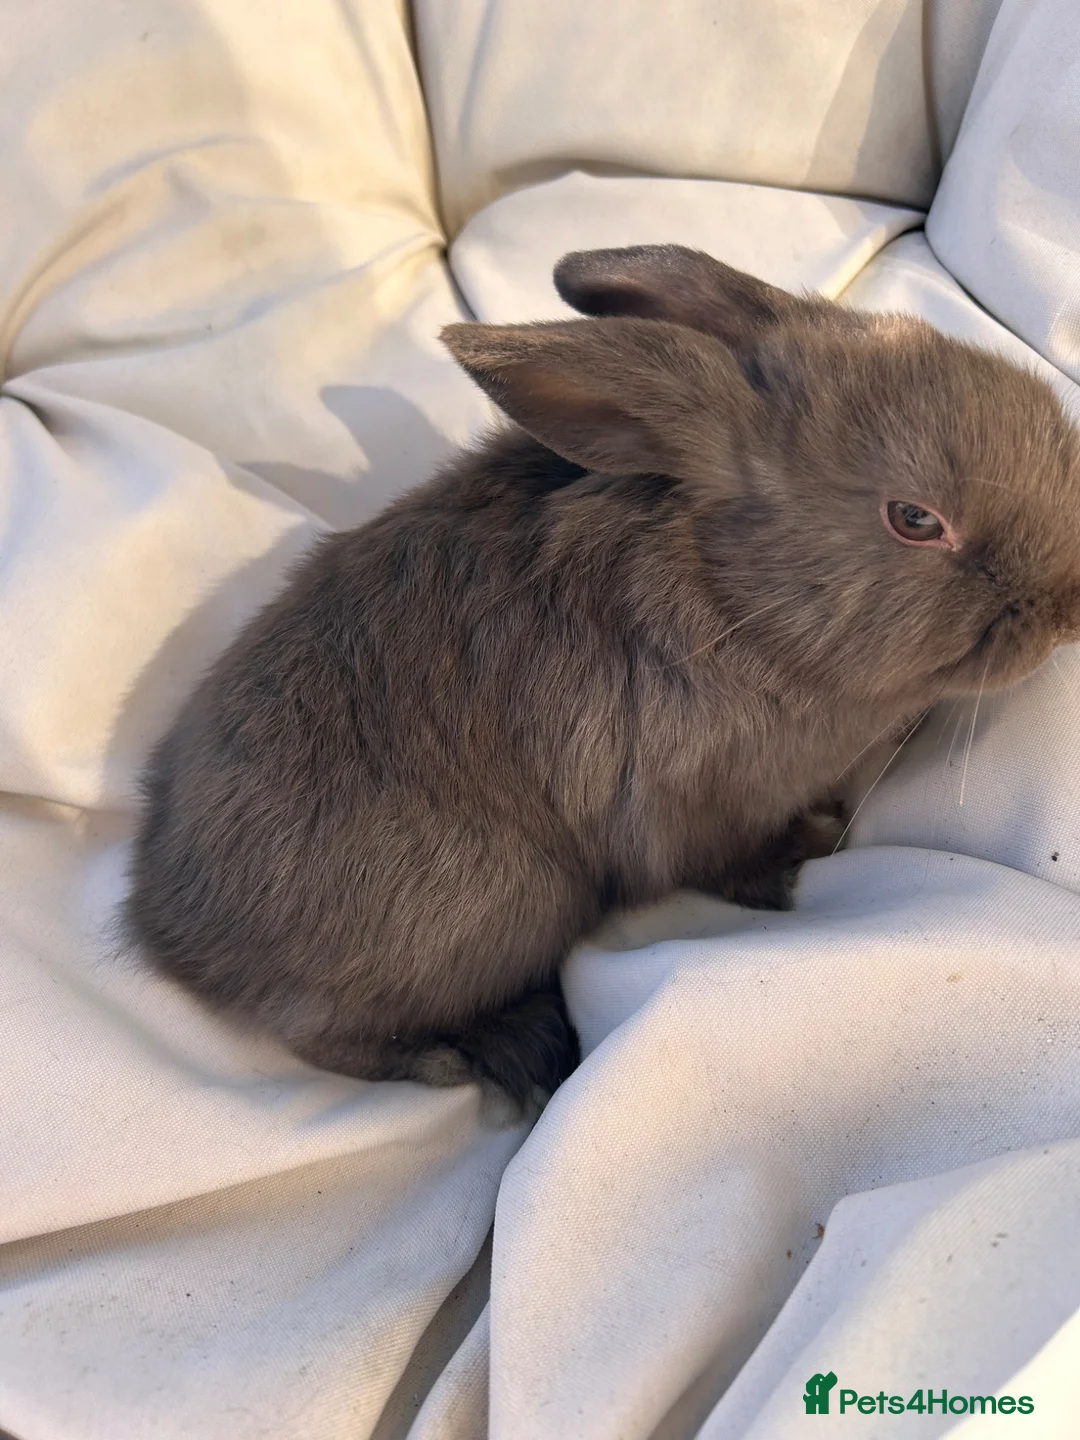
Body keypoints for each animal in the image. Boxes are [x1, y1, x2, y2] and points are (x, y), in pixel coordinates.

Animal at [124, 244, 1080, 1107]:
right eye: (915, 519)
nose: (1068, 605)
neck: (739, 598)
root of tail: (168, 936)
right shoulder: (698, 807)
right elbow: (731, 859)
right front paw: (804, 850)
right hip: (505, 904)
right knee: (328, 1035)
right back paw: (477, 1052)